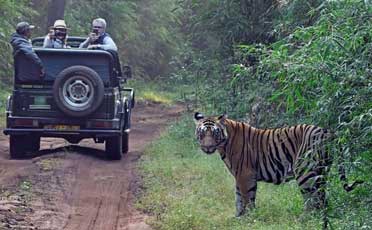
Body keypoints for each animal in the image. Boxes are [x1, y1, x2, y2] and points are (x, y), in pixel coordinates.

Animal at [193, 112, 362, 217]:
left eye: (214, 133)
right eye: (202, 133)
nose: (207, 147)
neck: (223, 145)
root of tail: (327, 131)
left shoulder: (245, 175)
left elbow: (247, 199)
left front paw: (249, 219)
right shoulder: (239, 176)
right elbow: (238, 199)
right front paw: (238, 218)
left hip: (305, 171)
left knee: (312, 200)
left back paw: (304, 219)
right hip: (321, 172)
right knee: (322, 199)